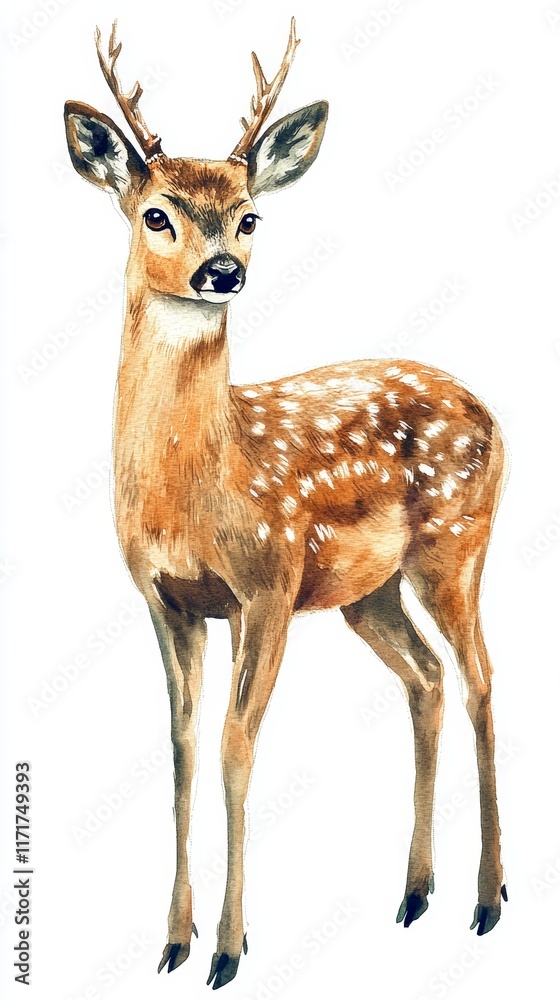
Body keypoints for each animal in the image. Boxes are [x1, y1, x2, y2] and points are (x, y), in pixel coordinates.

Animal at [64, 18, 507, 990]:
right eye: (157, 213)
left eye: (249, 214)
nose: (223, 270)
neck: (197, 488)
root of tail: (495, 412)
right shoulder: (167, 599)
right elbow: (184, 747)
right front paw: (173, 940)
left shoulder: (266, 581)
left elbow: (238, 746)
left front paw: (229, 950)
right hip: (367, 594)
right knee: (426, 678)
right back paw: (414, 893)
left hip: (455, 547)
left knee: (482, 677)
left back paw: (490, 899)